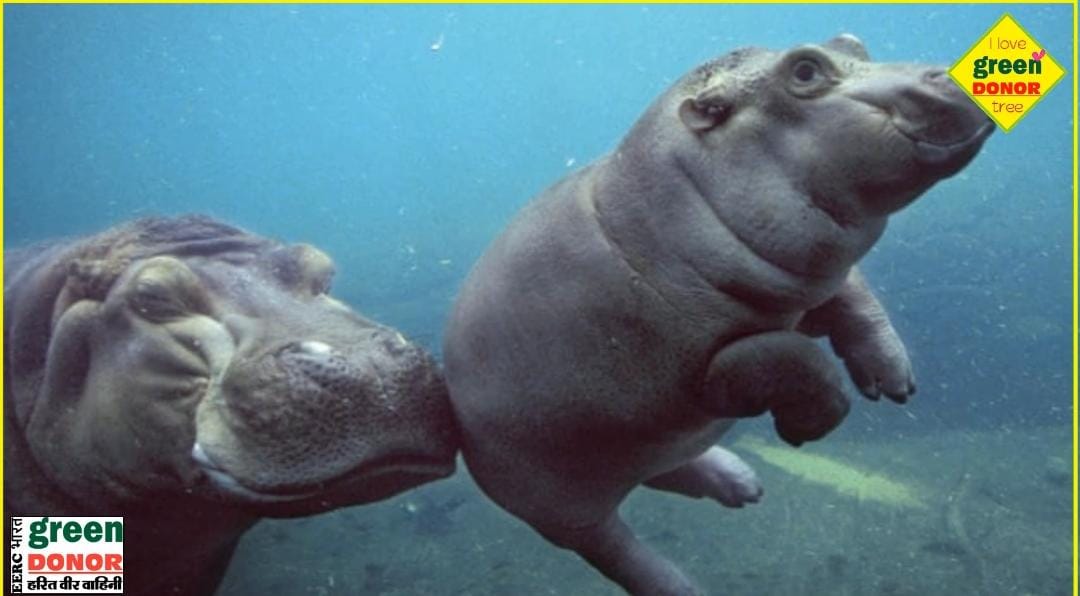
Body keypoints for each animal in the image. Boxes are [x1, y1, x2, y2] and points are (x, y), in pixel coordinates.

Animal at [444, 35, 992, 594]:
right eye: (805, 70)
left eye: (852, 43)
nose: (953, 75)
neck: (663, 197)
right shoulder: (705, 372)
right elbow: (794, 359)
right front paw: (807, 429)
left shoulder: (812, 276)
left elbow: (857, 300)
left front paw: (894, 381)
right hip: (558, 507)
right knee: (614, 548)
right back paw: (683, 584)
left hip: (635, 447)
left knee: (667, 469)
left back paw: (742, 485)